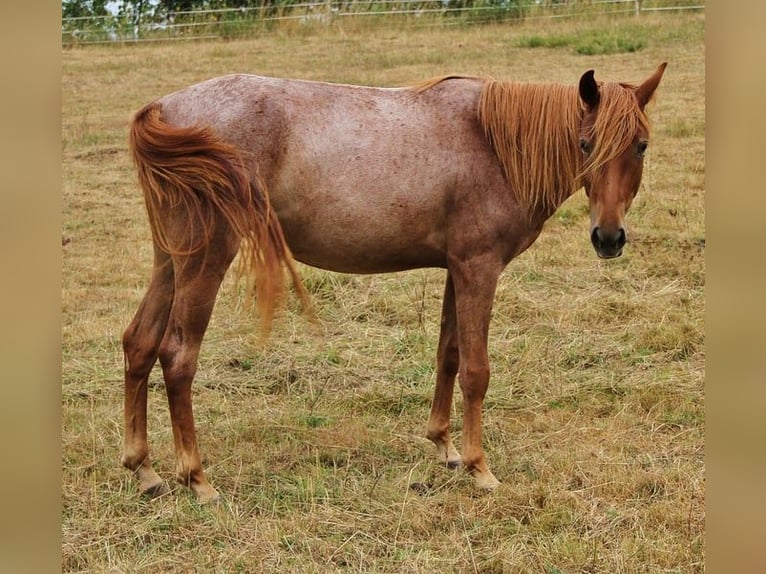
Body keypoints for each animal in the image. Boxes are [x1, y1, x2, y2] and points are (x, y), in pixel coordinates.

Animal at [121, 63, 667, 503]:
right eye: (586, 145)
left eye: (641, 147)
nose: (609, 238)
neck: (493, 143)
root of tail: (165, 108)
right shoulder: (479, 268)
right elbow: (476, 371)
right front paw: (479, 469)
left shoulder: (457, 269)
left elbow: (449, 355)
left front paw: (445, 447)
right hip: (206, 261)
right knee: (178, 357)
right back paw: (197, 479)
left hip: (172, 261)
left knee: (139, 343)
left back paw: (143, 470)